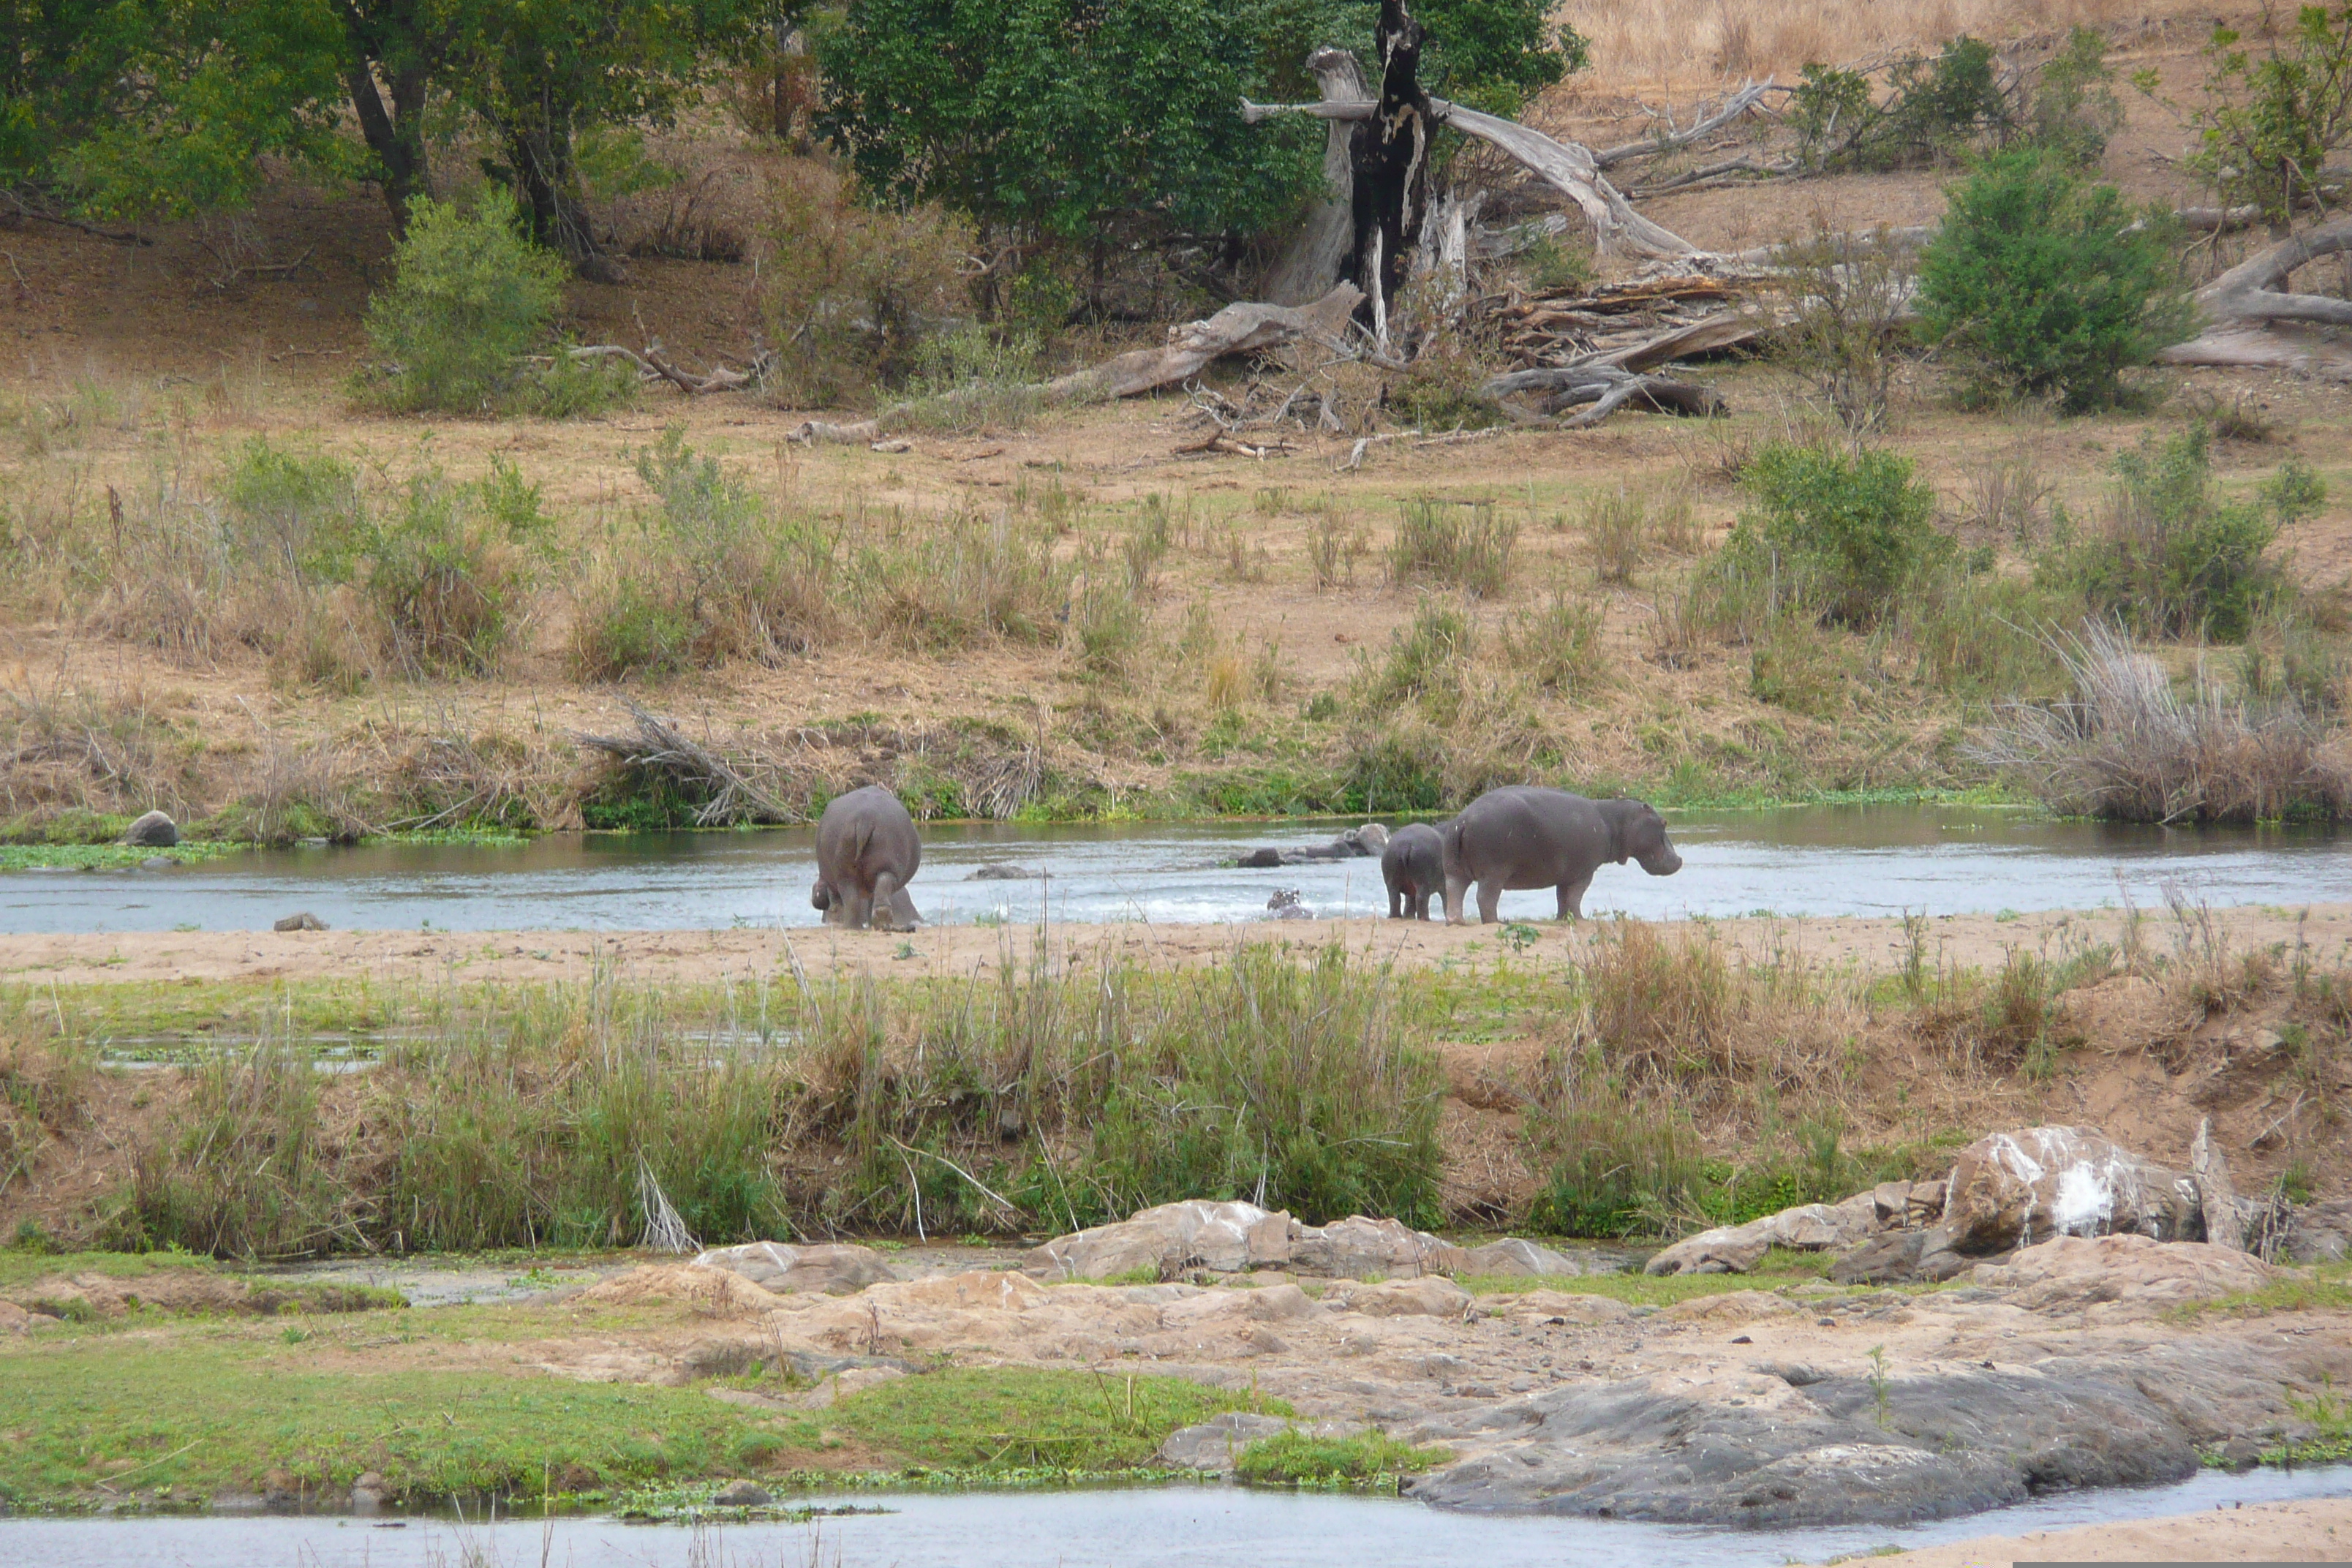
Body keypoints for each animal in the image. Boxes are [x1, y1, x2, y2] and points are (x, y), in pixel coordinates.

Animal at [809, 785, 917, 930]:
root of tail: (865, 818)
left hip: (847, 872)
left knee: (851, 899)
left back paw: (853, 927)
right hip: (882, 866)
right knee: (880, 886)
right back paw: (874, 924)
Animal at [1420, 780, 1684, 921]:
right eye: (1664, 823)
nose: (1680, 859)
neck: (1616, 821)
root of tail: (1463, 820)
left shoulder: (1566, 873)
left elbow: (1562, 898)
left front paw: (1562, 919)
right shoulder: (1584, 872)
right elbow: (1575, 897)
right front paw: (1580, 919)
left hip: (1454, 869)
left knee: (1454, 891)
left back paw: (1457, 923)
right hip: (1494, 872)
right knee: (1485, 898)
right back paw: (1496, 923)